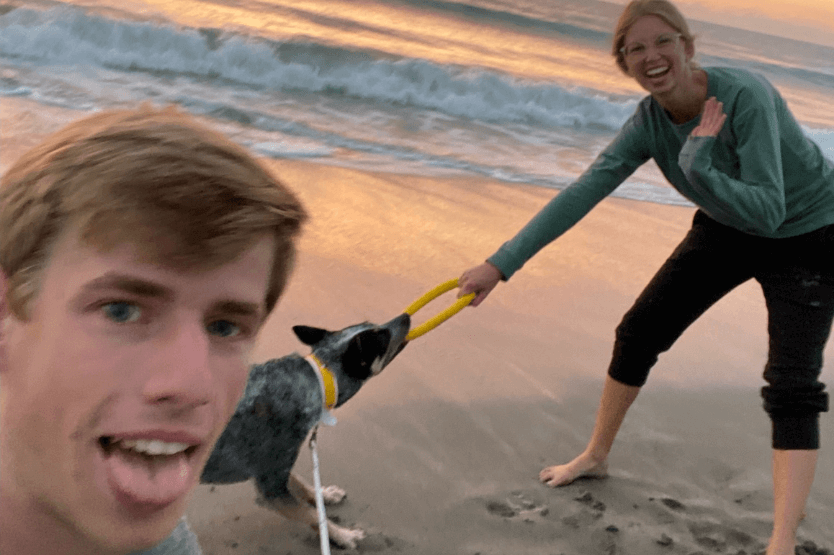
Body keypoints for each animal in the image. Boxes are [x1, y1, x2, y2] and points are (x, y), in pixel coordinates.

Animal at [202, 314, 410, 548]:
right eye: (381, 338)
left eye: (372, 325)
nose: (405, 316)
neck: (319, 379)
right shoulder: (272, 489)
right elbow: (313, 516)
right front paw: (343, 535)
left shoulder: (277, 464)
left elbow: (302, 483)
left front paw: (323, 494)